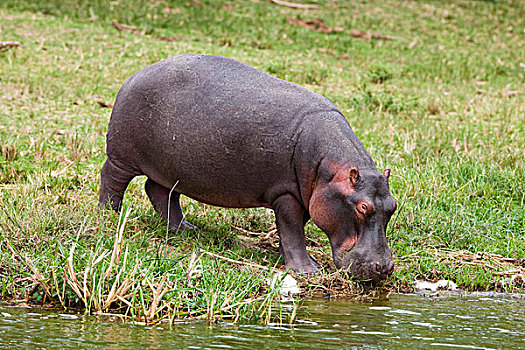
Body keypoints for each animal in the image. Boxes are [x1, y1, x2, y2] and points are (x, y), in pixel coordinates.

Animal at [98, 54, 396, 282]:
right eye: (362, 207)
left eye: (393, 207)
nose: (384, 268)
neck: (332, 170)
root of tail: (137, 73)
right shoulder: (286, 192)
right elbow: (292, 229)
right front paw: (307, 270)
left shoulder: (306, 195)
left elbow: (293, 229)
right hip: (122, 156)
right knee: (111, 178)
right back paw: (109, 214)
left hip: (171, 169)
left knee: (159, 191)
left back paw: (184, 229)